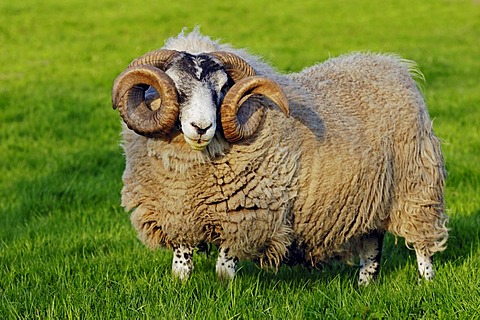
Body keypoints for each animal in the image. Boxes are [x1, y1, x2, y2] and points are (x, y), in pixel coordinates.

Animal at [111, 29, 446, 284]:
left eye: (222, 89)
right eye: (177, 89)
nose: (201, 127)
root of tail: (392, 65)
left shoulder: (247, 214)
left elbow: (223, 266)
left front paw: (225, 290)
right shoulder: (178, 214)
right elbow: (182, 263)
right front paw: (181, 286)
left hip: (416, 187)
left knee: (421, 244)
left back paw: (427, 282)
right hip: (370, 199)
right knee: (372, 245)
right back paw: (365, 286)